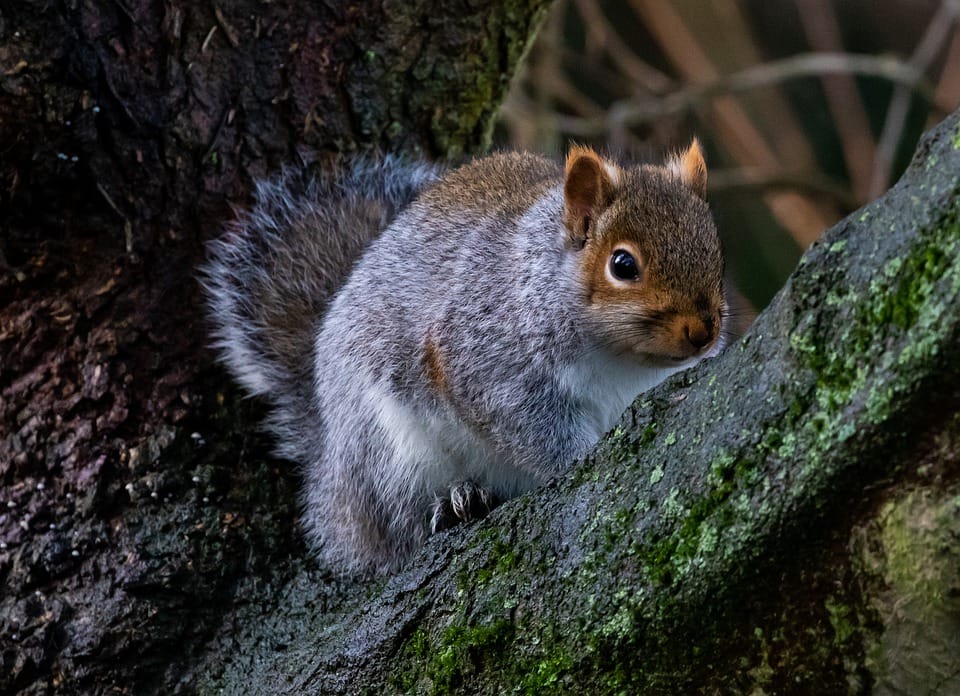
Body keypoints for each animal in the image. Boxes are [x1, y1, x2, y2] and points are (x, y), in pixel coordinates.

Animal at [202, 142, 727, 575]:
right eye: (622, 265)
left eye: (716, 253)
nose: (703, 332)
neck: (625, 365)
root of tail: (329, 472)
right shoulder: (487, 356)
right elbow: (528, 425)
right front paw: (578, 457)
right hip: (388, 452)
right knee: (394, 528)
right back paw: (454, 503)